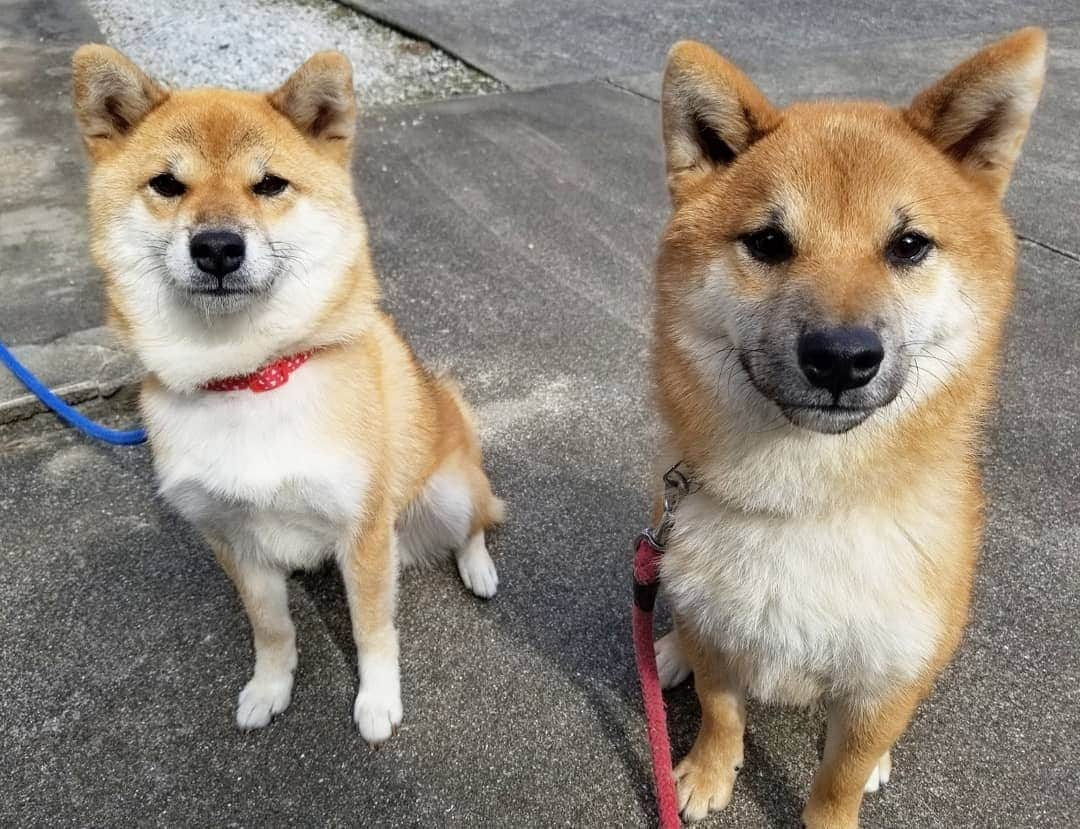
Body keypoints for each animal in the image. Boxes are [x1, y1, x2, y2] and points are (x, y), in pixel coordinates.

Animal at [72, 48, 505, 742]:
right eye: (167, 184)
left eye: (269, 185)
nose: (217, 247)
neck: (248, 377)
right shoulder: (233, 540)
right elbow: (270, 627)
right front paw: (270, 688)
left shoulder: (364, 531)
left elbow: (372, 630)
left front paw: (378, 702)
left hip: (449, 490)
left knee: (476, 525)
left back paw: (479, 568)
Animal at [648, 27, 1045, 829]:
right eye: (769, 242)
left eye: (909, 245)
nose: (841, 356)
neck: (807, 505)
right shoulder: (718, 627)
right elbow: (720, 709)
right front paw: (707, 772)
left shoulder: (883, 680)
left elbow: (840, 774)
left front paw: (840, 797)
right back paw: (667, 648)